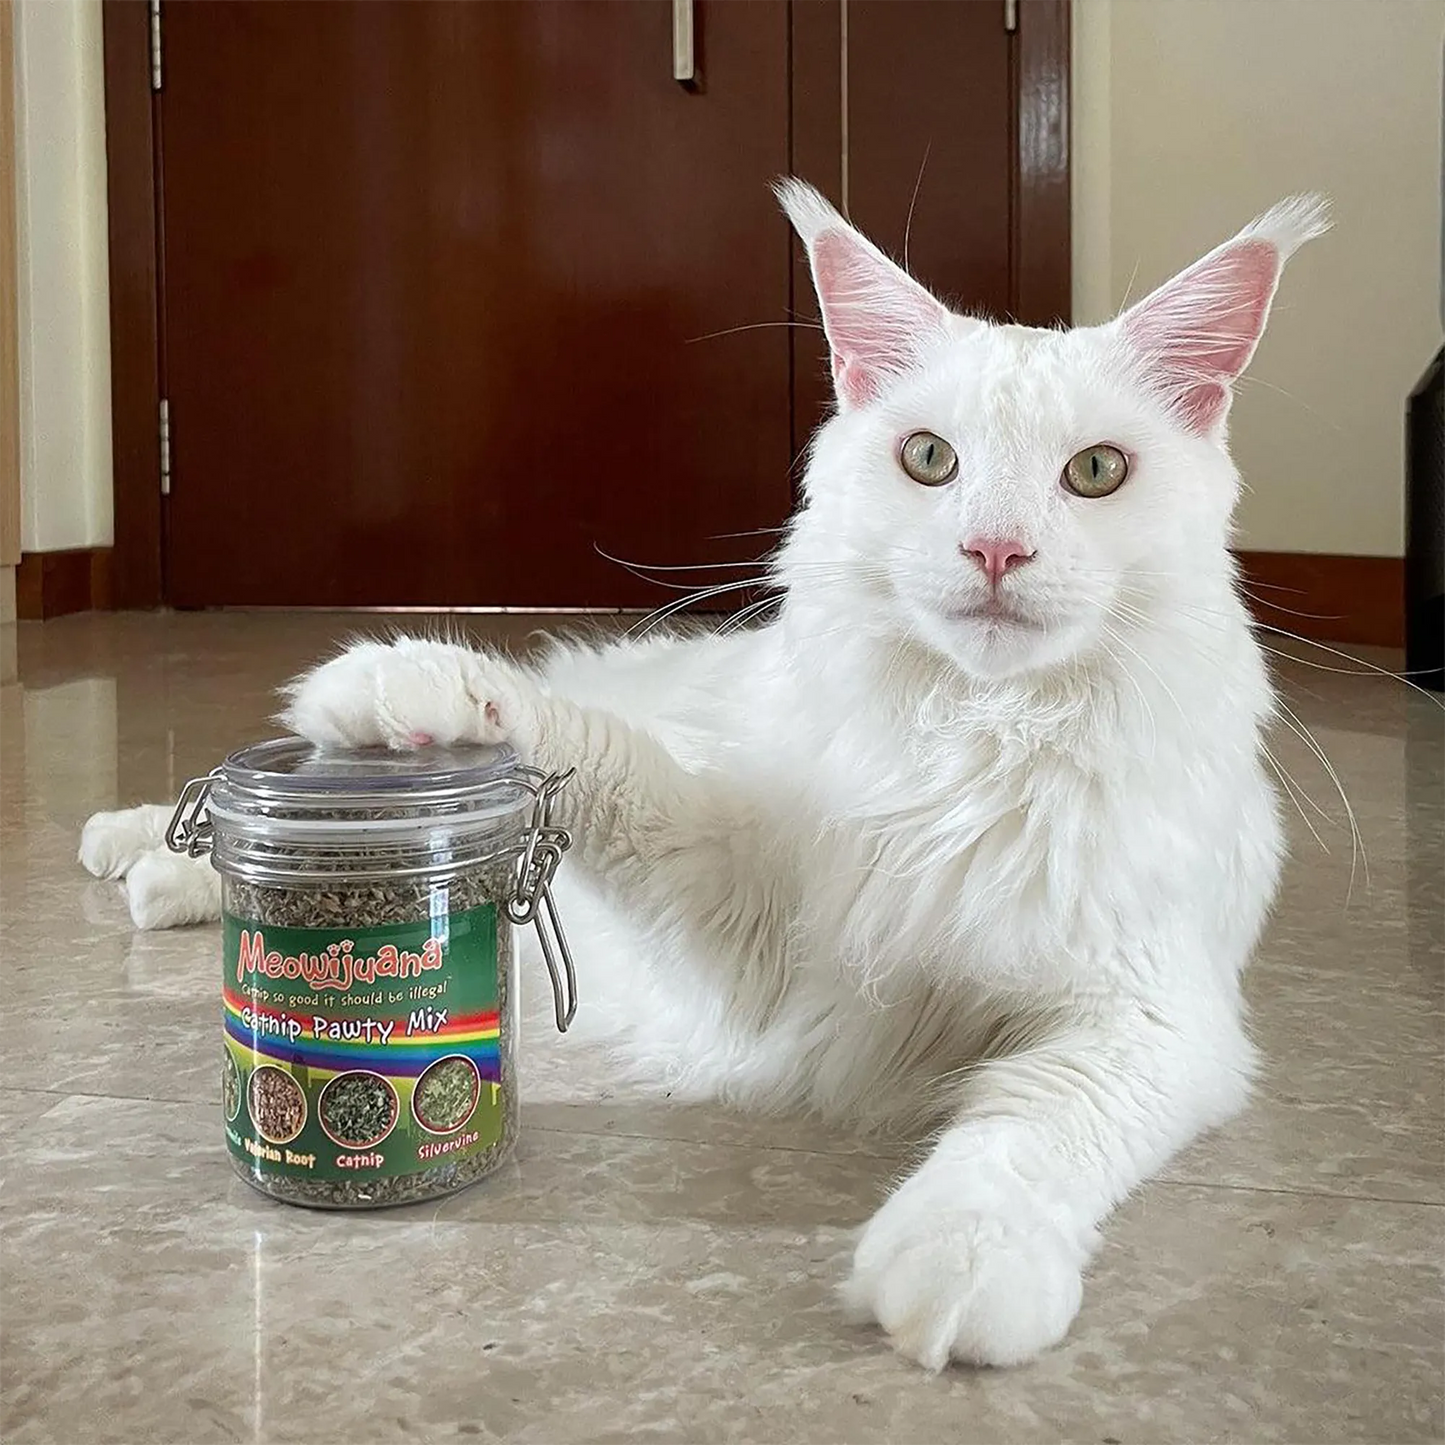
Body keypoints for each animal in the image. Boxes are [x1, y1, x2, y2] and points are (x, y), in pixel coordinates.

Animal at [76, 180, 1323, 1364]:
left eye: (1095, 472)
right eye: (929, 459)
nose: (994, 549)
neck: (970, 736)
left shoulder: (1149, 1019)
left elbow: (1033, 1125)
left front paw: (963, 1260)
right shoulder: (748, 930)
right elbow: (598, 763)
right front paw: (406, 685)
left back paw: (154, 873)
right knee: (233, 819)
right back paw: (139, 846)